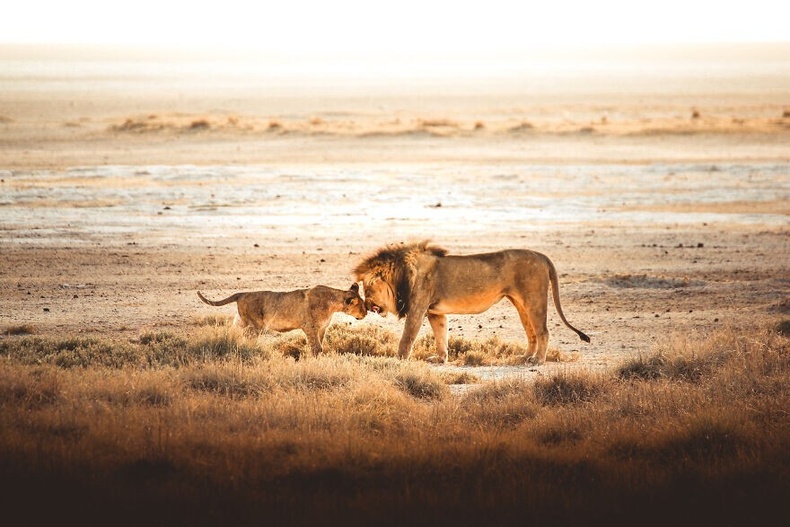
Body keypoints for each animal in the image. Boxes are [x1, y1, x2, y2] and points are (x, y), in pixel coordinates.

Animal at [200, 284, 370, 354]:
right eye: (361, 305)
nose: (366, 313)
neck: (333, 304)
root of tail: (241, 294)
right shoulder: (310, 327)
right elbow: (316, 347)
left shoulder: (322, 328)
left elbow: (320, 345)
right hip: (254, 326)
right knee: (247, 339)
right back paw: (247, 349)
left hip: (241, 322)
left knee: (232, 332)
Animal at [356, 242, 592, 364]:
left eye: (367, 289)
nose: (367, 306)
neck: (402, 275)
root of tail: (542, 256)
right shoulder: (435, 312)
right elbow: (441, 336)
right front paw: (440, 359)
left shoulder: (417, 309)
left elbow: (407, 339)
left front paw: (397, 361)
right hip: (520, 303)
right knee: (532, 333)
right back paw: (525, 356)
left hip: (534, 299)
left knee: (543, 331)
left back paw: (538, 360)